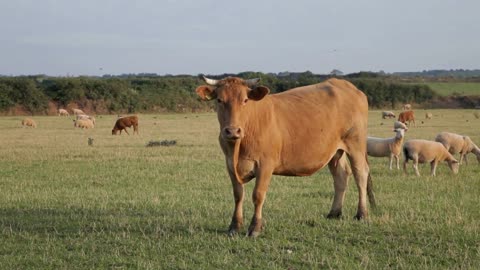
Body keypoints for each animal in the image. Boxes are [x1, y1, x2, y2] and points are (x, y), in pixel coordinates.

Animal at [195, 76, 376, 236]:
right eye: (219, 100)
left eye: (245, 100)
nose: (232, 131)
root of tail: (346, 85)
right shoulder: (230, 165)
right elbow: (238, 195)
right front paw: (234, 226)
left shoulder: (265, 165)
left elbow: (258, 195)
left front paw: (255, 227)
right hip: (335, 151)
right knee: (341, 176)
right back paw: (334, 213)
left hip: (356, 144)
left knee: (360, 174)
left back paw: (361, 213)